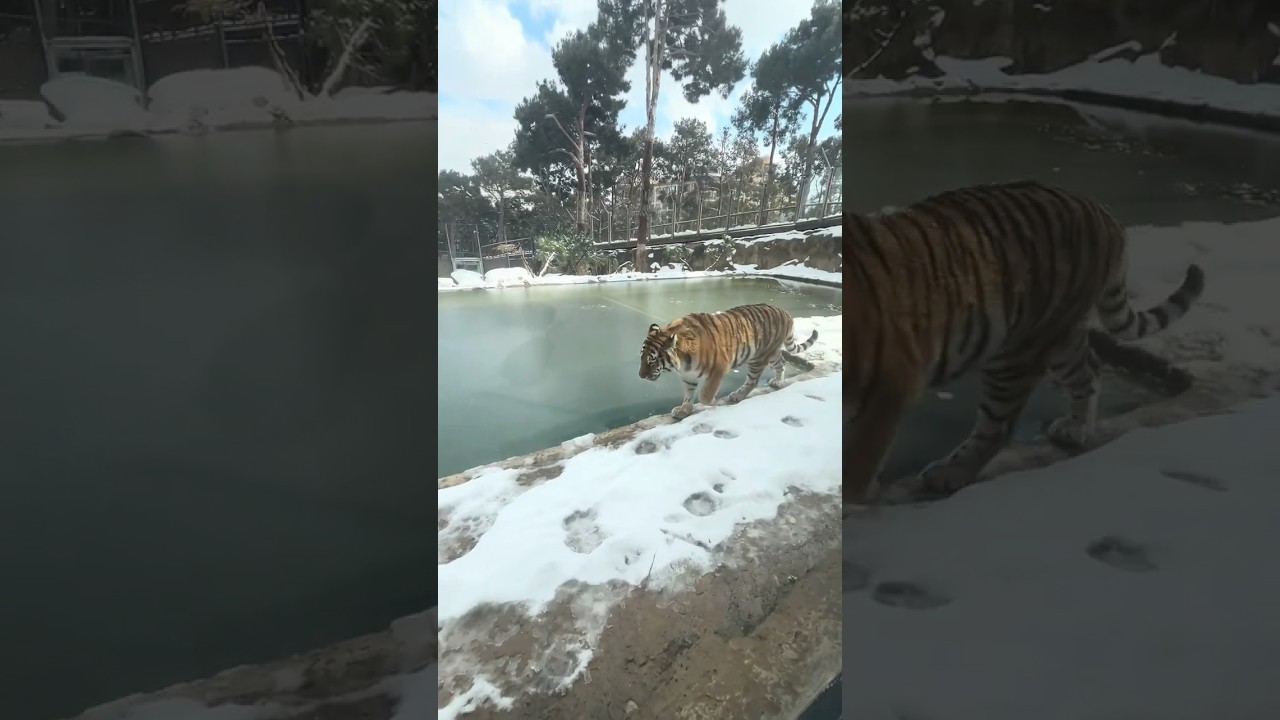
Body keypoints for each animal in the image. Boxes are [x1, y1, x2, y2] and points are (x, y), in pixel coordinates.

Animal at [640, 303, 820, 420]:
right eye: (641, 359)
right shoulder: (688, 375)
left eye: (652, 361)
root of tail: (784, 312)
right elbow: (688, 394)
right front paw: (684, 410)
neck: (683, 363)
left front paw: (714, 403)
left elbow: (705, 395)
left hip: (758, 357)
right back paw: (777, 381)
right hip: (771, 353)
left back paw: (738, 395)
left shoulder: (718, 369)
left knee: (752, 381)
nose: (641, 376)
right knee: (781, 362)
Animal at [845, 180, 1205, 513]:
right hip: (1058, 336)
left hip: (1018, 350)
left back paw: (951, 472)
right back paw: (1076, 428)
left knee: (998, 425)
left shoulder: (887, 388)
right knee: (1089, 369)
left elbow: (856, 468)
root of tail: (1099, 210)